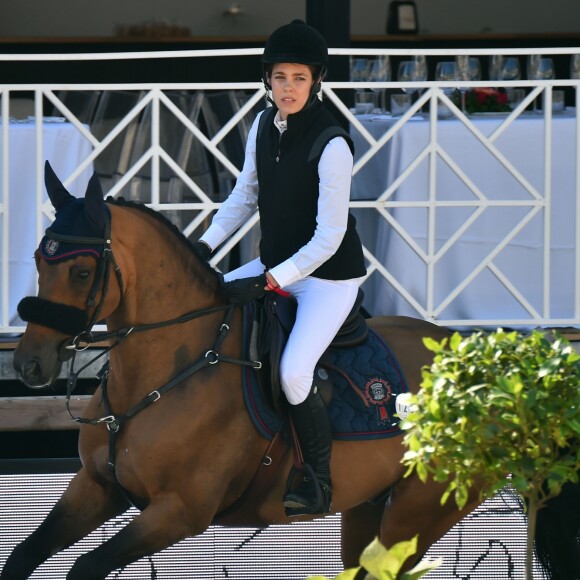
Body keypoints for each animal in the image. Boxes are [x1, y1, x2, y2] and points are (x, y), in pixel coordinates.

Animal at [3, 164, 576, 580]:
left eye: (81, 272)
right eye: (38, 259)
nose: (31, 363)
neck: (163, 375)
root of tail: (483, 363)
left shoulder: (178, 512)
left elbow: (83, 568)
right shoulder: (95, 487)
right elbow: (21, 558)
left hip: (419, 511)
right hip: (366, 510)